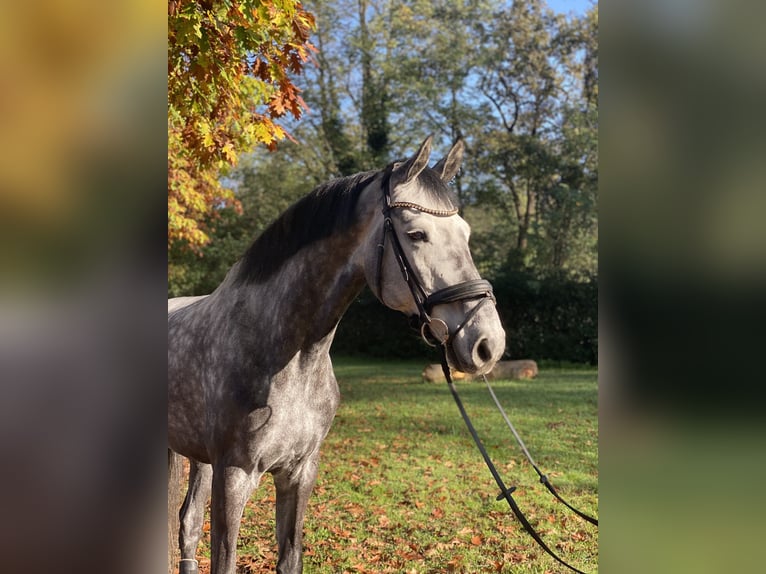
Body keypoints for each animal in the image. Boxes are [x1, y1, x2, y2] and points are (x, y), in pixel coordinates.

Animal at [168, 138, 508, 574]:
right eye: (416, 234)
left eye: (465, 233)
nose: (488, 343)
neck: (288, 357)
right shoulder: (234, 476)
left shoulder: (299, 471)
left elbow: (289, 558)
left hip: (198, 459)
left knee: (189, 523)